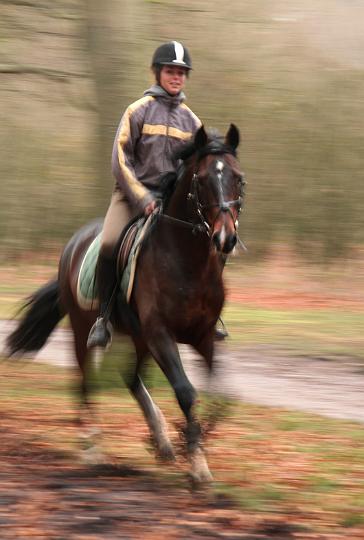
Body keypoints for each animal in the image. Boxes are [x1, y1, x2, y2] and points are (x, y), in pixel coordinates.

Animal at [6, 123, 245, 486]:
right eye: (203, 180)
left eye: (238, 178)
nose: (225, 238)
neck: (187, 261)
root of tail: (72, 244)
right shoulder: (161, 333)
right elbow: (187, 391)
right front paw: (198, 466)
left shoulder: (202, 337)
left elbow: (224, 397)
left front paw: (188, 441)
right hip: (86, 330)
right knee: (84, 379)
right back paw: (92, 448)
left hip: (139, 337)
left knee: (130, 377)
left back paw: (160, 440)